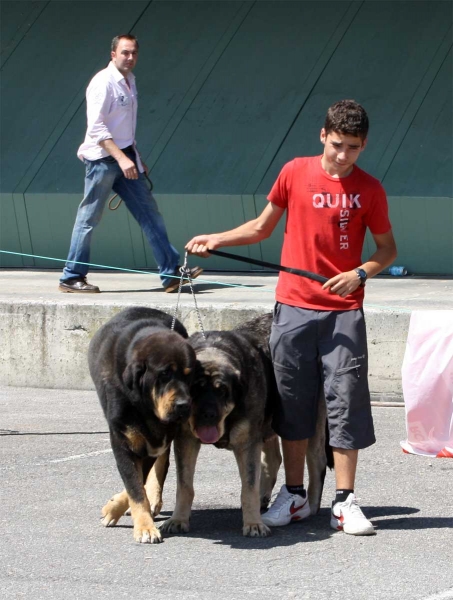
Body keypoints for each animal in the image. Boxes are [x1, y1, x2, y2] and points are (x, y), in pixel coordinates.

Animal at [87, 304, 195, 544]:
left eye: (189, 375)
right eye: (164, 374)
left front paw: (116, 509)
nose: (184, 405)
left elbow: (138, 484)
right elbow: (135, 488)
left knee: (160, 465)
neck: (146, 408)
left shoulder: (153, 442)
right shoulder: (126, 442)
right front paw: (144, 527)